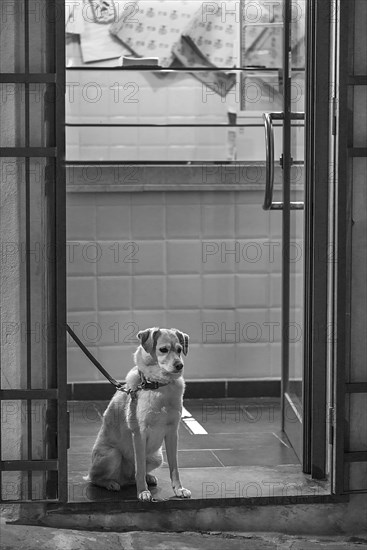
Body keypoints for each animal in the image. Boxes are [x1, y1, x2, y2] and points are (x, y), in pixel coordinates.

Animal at [84, 328, 193, 504]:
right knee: (95, 479)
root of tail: (123, 478)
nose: (179, 365)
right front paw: (143, 492)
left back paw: (146, 478)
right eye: (163, 349)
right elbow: (139, 468)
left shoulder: (172, 433)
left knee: (132, 477)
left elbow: (174, 468)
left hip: (157, 457)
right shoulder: (139, 433)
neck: (157, 386)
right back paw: (111, 484)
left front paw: (179, 489)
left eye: (179, 349)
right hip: (112, 455)